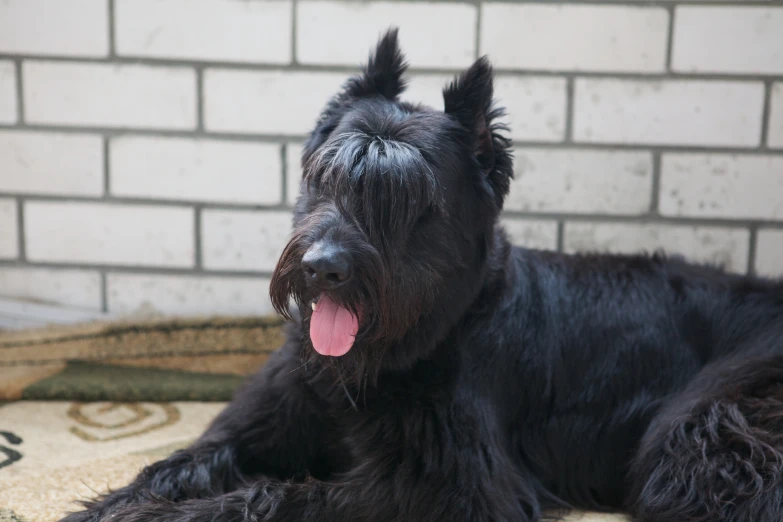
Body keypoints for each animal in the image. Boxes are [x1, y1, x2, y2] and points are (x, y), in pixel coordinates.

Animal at [62, 32, 783, 520]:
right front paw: (115, 505)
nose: (321, 269)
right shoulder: (261, 426)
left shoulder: (443, 489)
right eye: (323, 175)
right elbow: (179, 466)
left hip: (696, 438)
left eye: (409, 200)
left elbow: (281, 499)